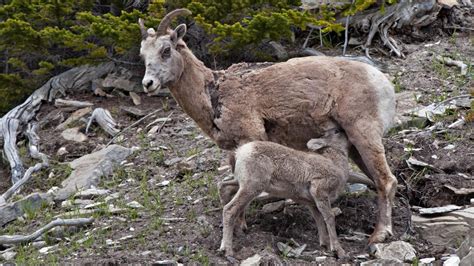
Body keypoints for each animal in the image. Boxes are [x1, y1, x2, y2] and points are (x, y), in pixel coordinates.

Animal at [140, 8, 396, 243]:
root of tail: (383, 83)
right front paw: (241, 226)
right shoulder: (234, 150)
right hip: (354, 147)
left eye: (166, 50)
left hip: (364, 134)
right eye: (143, 55)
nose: (148, 84)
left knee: (386, 181)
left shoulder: (252, 137)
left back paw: (378, 236)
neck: (214, 92)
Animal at [218, 131, 348, 258]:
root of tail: (239, 153)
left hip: (242, 184)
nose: (345, 135)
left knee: (224, 187)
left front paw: (325, 245)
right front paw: (339, 252)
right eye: (337, 132)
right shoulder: (320, 193)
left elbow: (319, 219)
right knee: (229, 209)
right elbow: (329, 218)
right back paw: (227, 250)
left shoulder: (312, 202)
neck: (335, 162)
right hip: (251, 187)